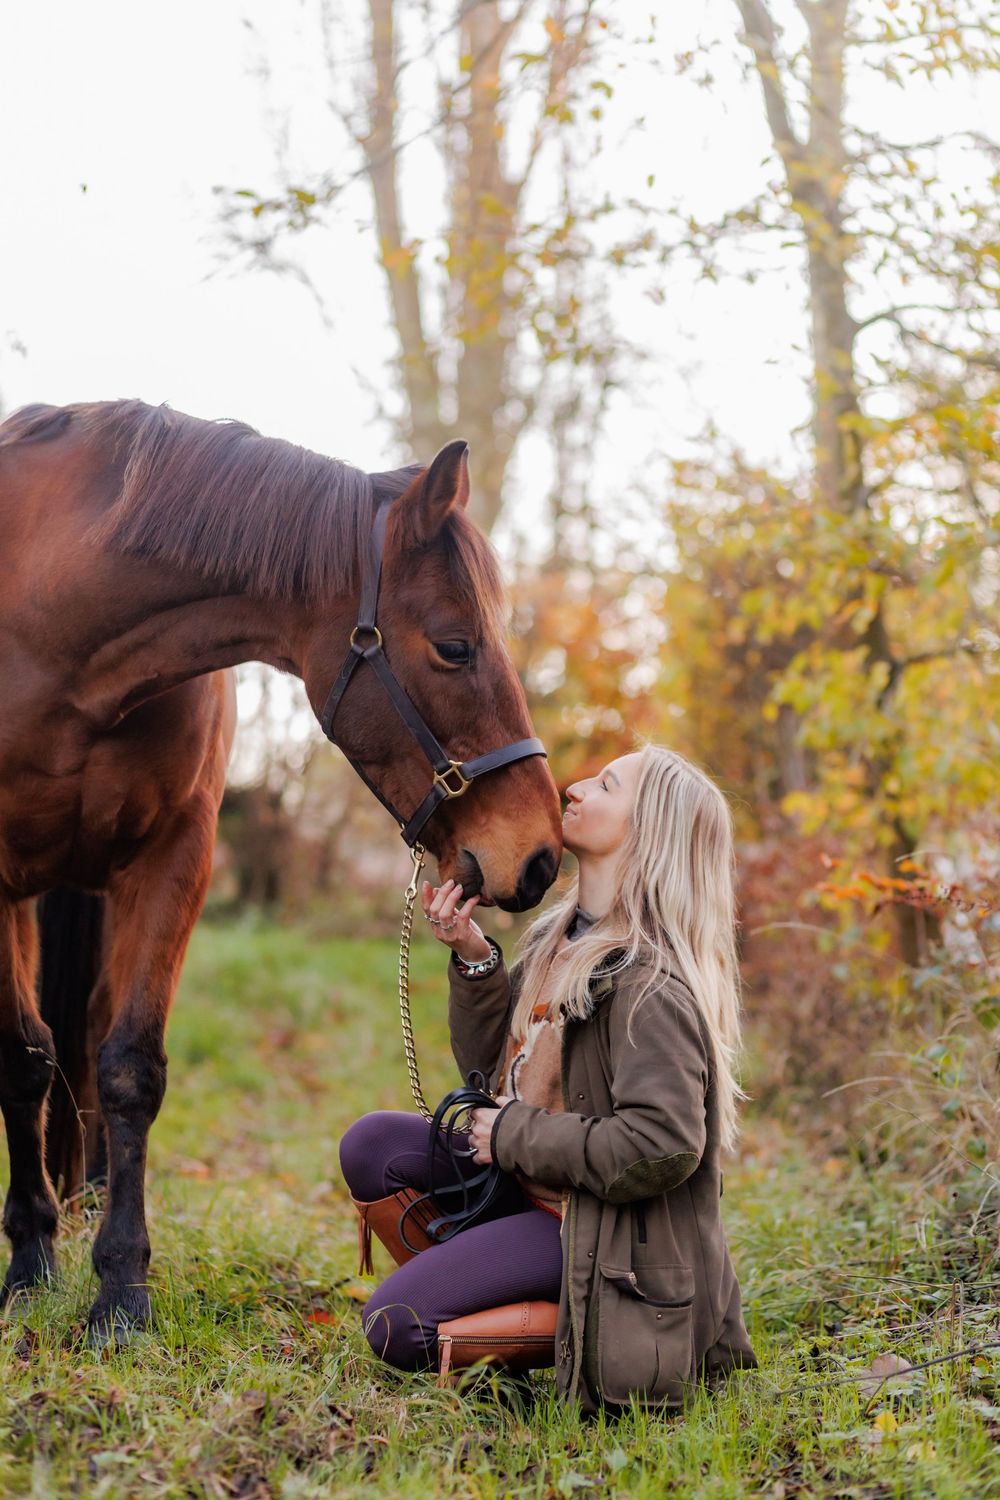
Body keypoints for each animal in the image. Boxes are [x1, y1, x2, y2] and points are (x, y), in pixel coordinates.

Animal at [0, 398, 562, 1344]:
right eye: (454, 646)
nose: (542, 852)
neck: (53, 630)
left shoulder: (174, 859)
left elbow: (129, 1067)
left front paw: (120, 1291)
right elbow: (22, 1056)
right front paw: (30, 1264)